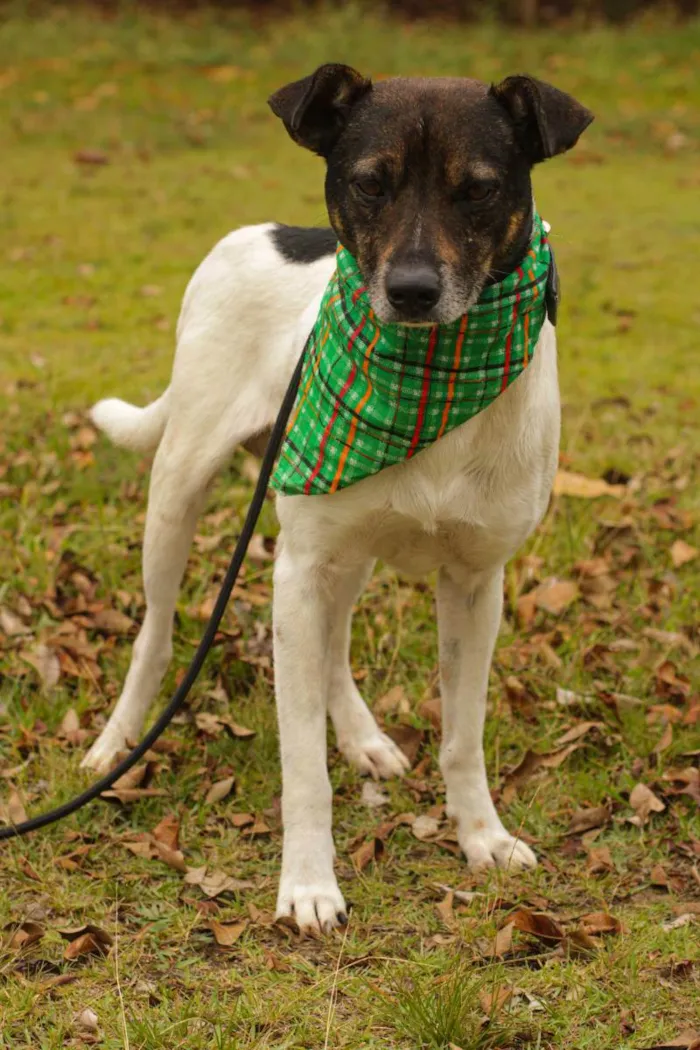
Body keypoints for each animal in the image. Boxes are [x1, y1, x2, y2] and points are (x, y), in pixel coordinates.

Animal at [85, 65, 596, 936]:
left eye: (479, 189)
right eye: (368, 182)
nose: (414, 291)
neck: (427, 375)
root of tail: (260, 231)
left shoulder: (475, 583)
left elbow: (463, 734)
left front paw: (481, 836)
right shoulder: (300, 566)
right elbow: (302, 767)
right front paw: (308, 883)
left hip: (338, 547)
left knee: (328, 645)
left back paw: (362, 737)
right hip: (184, 488)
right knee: (156, 631)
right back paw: (118, 743)